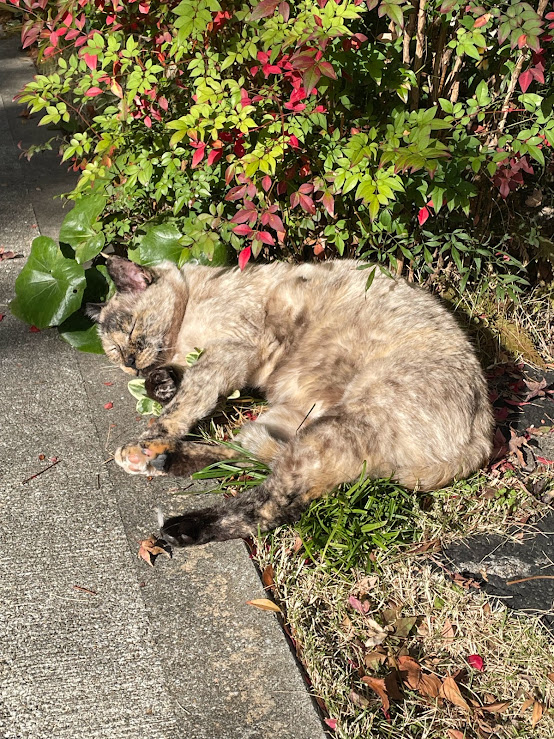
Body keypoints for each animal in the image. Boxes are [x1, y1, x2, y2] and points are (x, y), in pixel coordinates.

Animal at [87, 258, 492, 548]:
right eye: (112, 351)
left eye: (130, 331)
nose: (128, 362)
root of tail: (483, 437)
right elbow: (169, 385)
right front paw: (160, 387)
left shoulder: (227, 355)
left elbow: (184, 405)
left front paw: (149, 435)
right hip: (286, 420)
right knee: (253, 457)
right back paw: (165, 460)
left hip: (340, 427)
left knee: (272, 504)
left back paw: (179, 518)